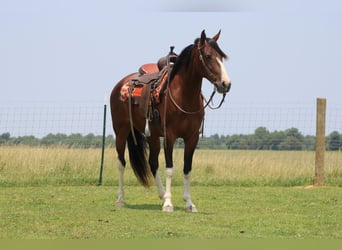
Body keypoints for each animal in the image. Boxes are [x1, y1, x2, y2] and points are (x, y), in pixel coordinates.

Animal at [111, 29, 231, 213]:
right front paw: (168, 204)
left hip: (152, 136)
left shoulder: (192, 138)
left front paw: (188, 203)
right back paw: (121, 199)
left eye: (222, 57)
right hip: (121, 131)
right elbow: (169, 169)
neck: (183, 96)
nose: (226, 84)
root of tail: (119, 85)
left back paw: (161, 195)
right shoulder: (170, 136)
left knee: (152, 163)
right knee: (121, 163)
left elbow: (187, 169)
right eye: (208, 56)